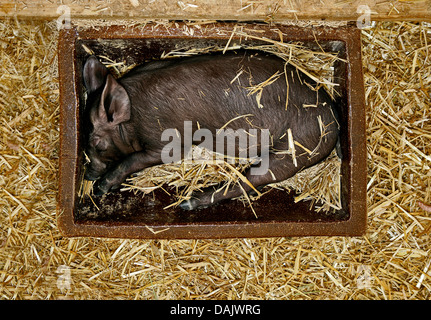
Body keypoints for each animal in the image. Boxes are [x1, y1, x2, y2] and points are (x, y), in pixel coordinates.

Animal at [82, 50, 340, 210]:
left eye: (97, 144)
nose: (88, 175)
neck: (132, 119)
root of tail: (335, 120)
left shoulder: (168, 139)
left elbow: (136, 159)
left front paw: (101, 188)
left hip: (297, 146)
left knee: (254, 177)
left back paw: (187, 203)